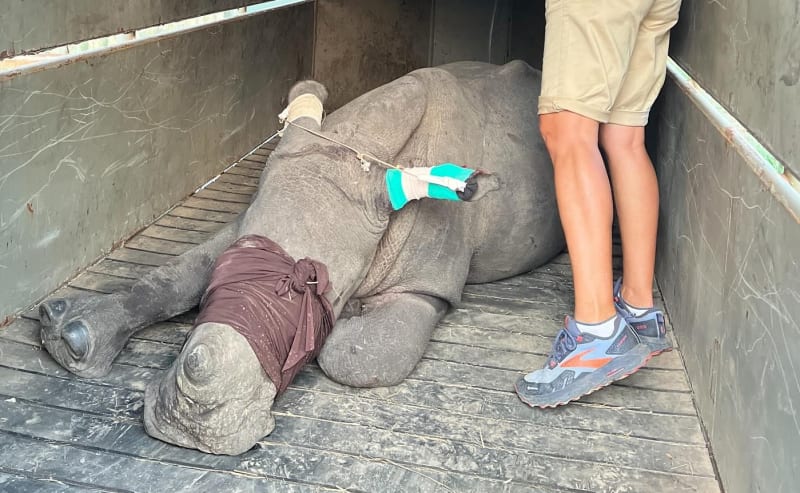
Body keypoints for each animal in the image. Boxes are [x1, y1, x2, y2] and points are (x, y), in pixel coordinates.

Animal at [37, 60, 564, 455]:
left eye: (322, 290)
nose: (189, 428)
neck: (362, 151)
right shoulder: (249, 214)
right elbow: (183, 270)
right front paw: (70, 335)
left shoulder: (426, 283)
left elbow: (355, 354)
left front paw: (348, 324)